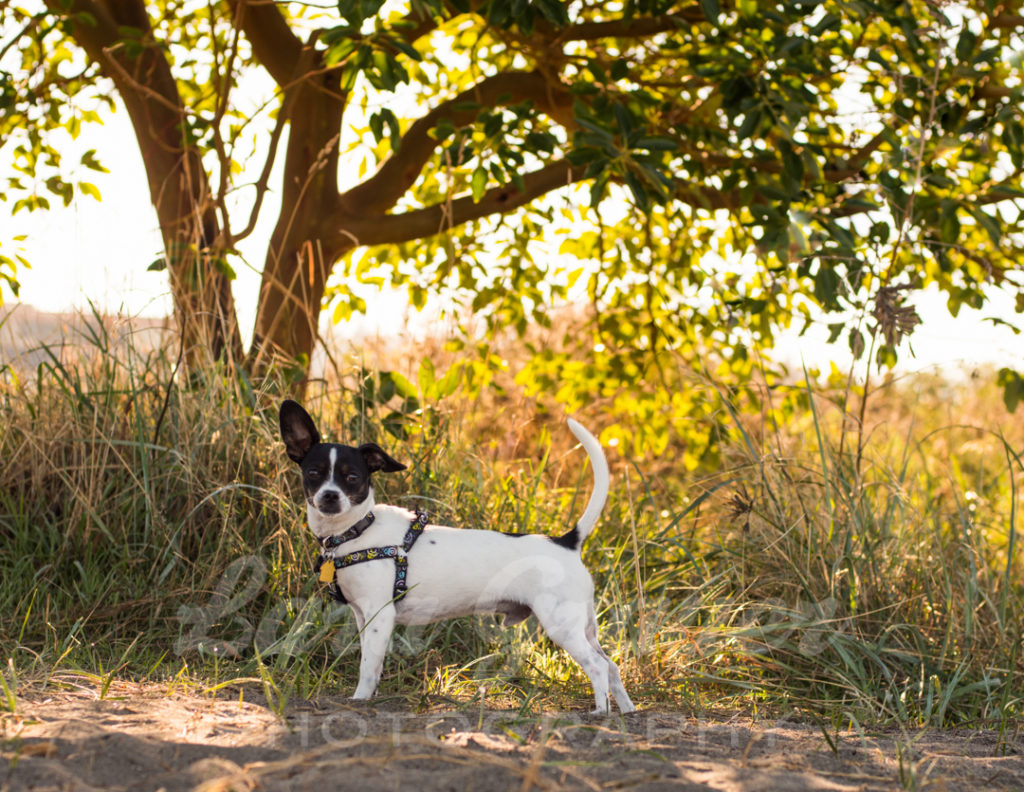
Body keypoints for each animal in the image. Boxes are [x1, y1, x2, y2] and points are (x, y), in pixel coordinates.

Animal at [280, 399, 630, 713]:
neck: (357, 531)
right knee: (611, 666)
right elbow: (371, 660)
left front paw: (361, 700)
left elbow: (368, 666)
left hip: (562, 625)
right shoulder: (363, 616)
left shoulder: (380, 615)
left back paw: (601, 712)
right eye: (314, 473)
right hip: (584, 626)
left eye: (352, 477)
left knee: (597, 667)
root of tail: (567, 542)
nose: (329, 496)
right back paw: (627, 711)